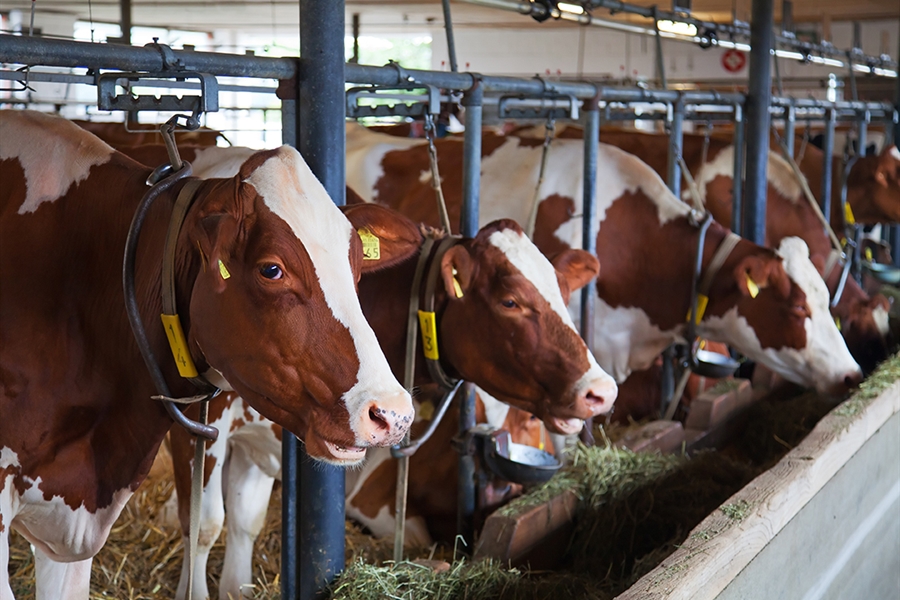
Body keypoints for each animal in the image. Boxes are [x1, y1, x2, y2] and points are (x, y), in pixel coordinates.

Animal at [163, 204, 620, 596]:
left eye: (564, 294)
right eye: (510, 301)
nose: (602, 391)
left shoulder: (264, 441)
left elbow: (245, 520)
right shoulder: (197, 423)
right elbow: (202, 524)